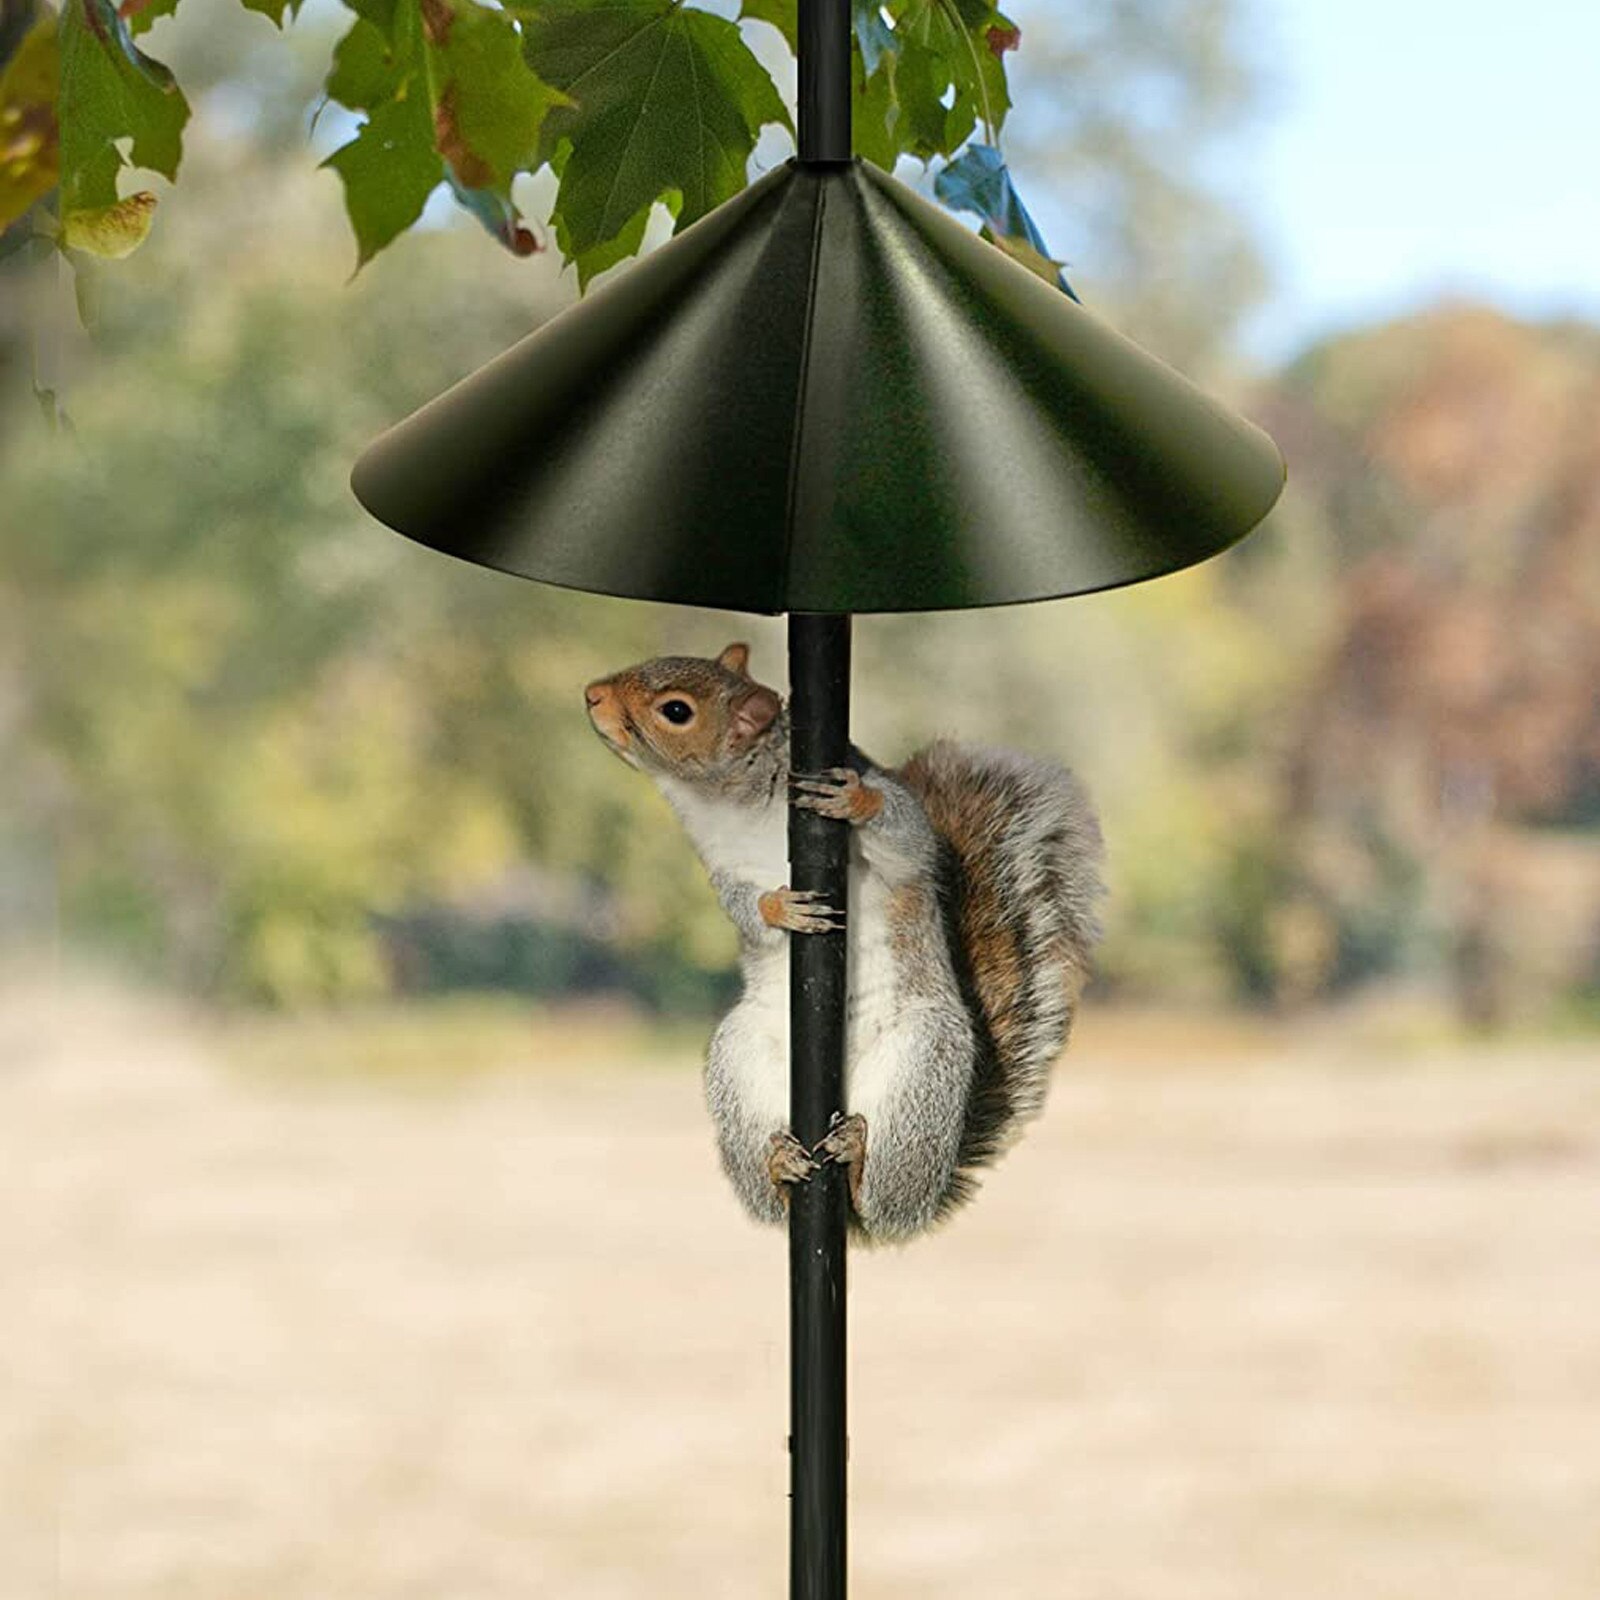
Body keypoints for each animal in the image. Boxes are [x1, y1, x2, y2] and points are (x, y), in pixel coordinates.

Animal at [584, 642, 1104, 1243]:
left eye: (675, 711)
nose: (592, 695)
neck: (731, 802)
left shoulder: (897, 833)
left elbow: (909, 840)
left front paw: (856, 801)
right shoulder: (721, 869)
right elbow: (743, 908)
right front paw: (779, 909)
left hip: (923, 1065)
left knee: (883, 1202)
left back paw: (857, 1163)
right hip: (739, 1060)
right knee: (773, 1201)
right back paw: (779, 1167)